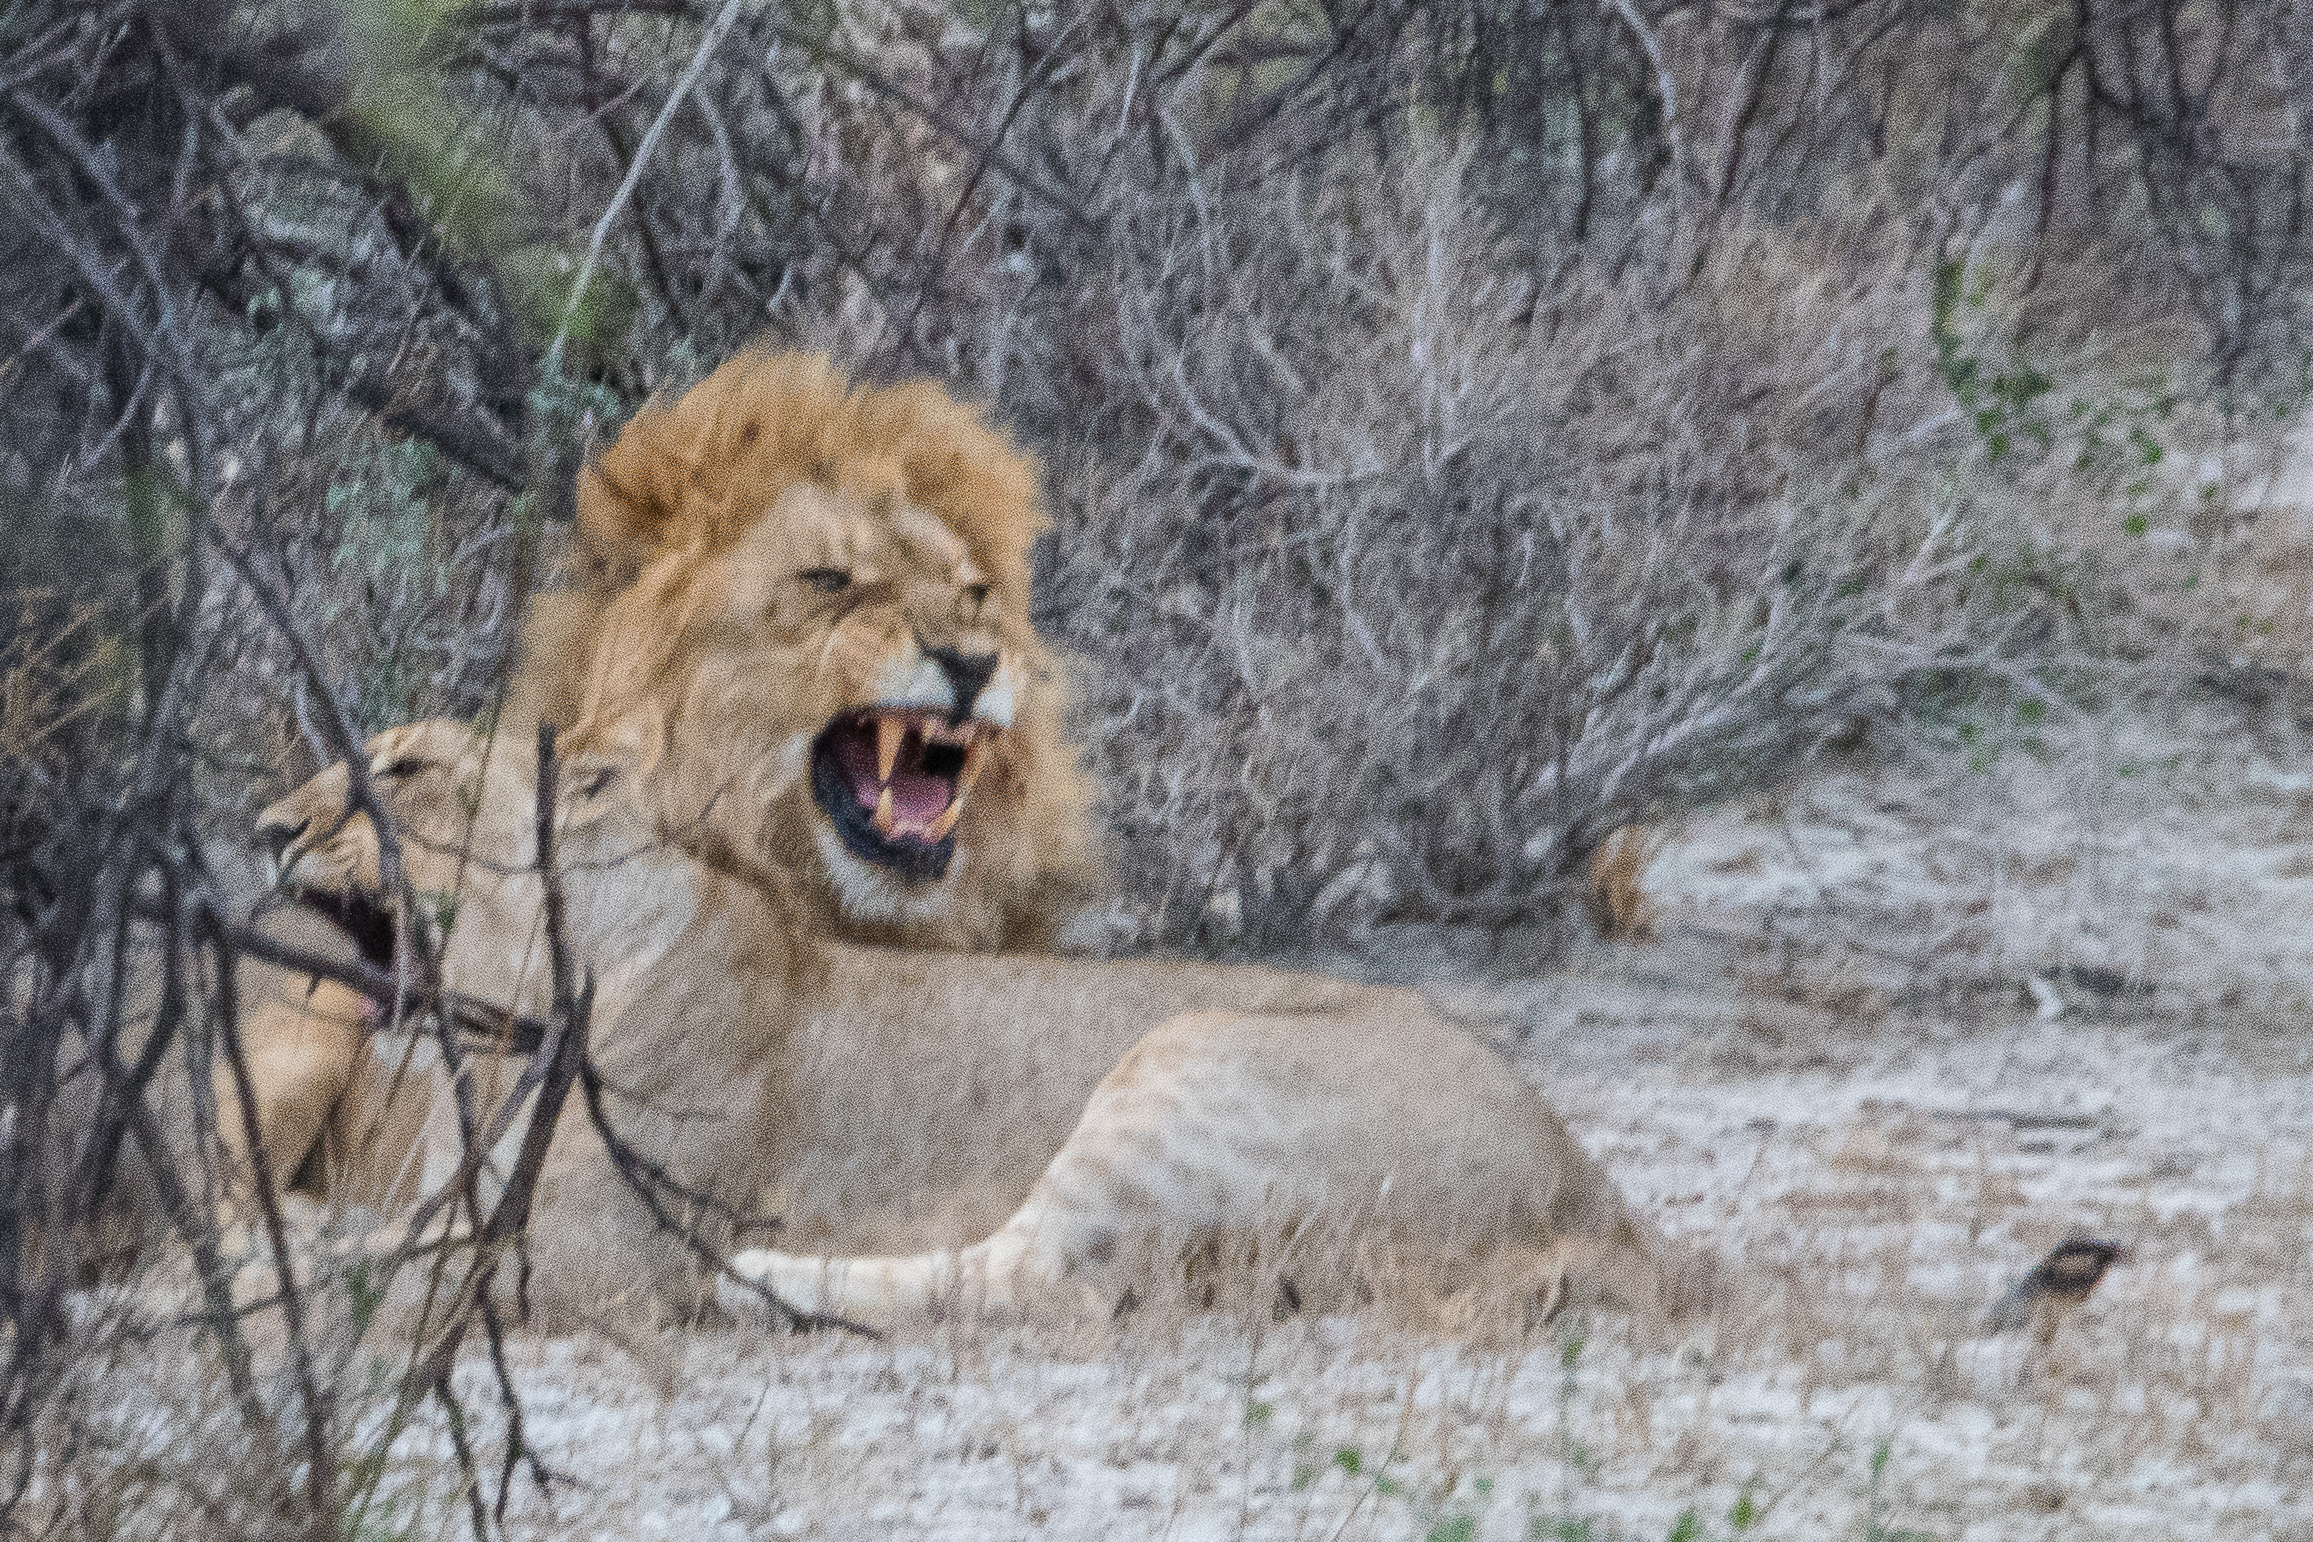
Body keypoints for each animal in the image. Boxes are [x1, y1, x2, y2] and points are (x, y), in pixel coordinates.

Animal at [257, 721, 1665, 1331]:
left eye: (405, 769)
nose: (264, 828)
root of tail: (1590, 1184)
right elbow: (339, 1239)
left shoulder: (598, 1245)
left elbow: (362, 1268)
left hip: (1189, 1056)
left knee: (1039, 1280)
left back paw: (764, 1283)